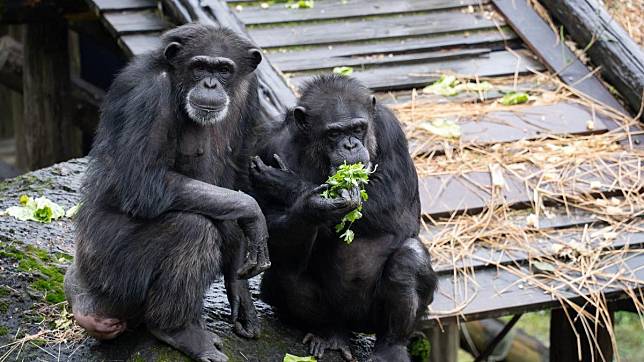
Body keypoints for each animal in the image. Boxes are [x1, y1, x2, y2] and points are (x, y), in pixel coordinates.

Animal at [63, 24, 270, 360]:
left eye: (223, 70)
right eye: (199, 66)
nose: (210, 83)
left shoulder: (251, 93)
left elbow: (237, 172)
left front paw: (241, 292)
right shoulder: (149, 94)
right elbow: (144, 182)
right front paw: (254, 216)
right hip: (109, 267)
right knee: (192, 228)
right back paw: (179, 331)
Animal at [250, 75, 438, 360]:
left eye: (358, 128)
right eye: (334, 133)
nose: (350, 144)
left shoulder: (391, 131)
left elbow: (395, 205)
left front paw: (287, 183)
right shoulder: (267, 145)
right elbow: (265, 222)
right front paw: (313, 206)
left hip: (372, 320)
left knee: (409, 259)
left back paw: (390, 348)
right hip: (336, 315)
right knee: (287, 273)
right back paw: (331, 335)